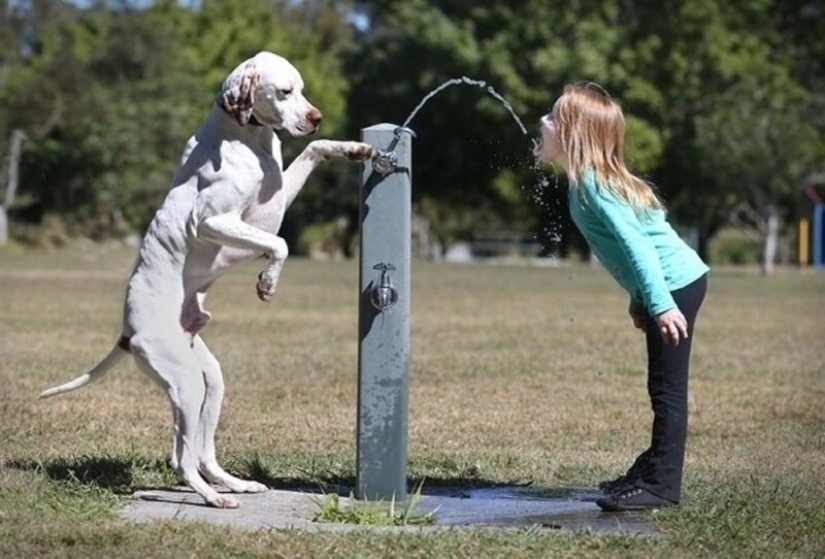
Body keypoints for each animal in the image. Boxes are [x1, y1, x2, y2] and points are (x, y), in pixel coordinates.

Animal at [38, 51, 374, 508]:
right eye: (284, 91)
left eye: (302, 90)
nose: (316, 116)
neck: (246, 137)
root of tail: (127, 331)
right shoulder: (215, 220)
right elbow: (281, 244)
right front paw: (267, 282)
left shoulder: (275, 201)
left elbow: (314, 150)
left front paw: (354, 149)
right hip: (185, 384)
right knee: (181, 458)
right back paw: (214, 498)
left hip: (209, 382)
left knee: (202, 453)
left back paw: (235, 484)